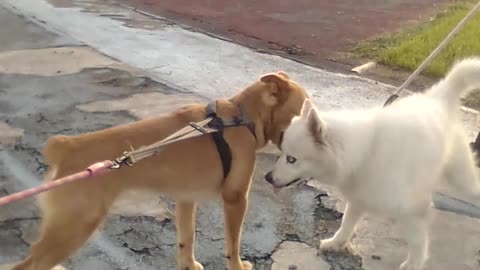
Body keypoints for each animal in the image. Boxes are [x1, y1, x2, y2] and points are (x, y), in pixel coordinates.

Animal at [12, 71, 312, 270]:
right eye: (305, 106)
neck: (241, 118)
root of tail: (65, 147)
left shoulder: (186, 200)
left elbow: (186, 239)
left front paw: (189, 264)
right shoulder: (236, 200)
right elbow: (233, 243)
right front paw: (237, 265)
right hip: (74, 228)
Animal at [264, 58, 480, 268]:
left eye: (291, 159)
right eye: (282, 153)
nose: (267, 178)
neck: (365, 153)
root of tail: (438, 97)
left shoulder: (413, 209)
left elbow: (417, 241)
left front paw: (414, 263)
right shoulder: (359, 197)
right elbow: (346, 223)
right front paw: (337, 242)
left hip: (462, 178)